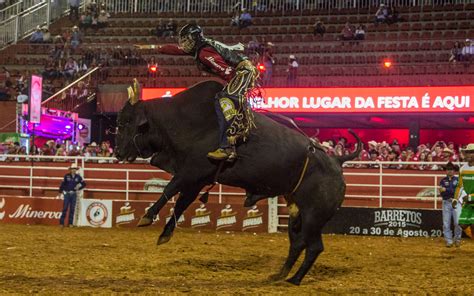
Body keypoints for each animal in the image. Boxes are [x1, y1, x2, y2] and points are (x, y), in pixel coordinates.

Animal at [115, 80, 360, 286]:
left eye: (127, 122)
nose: (117, 152)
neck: (183, 121)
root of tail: (337, 161)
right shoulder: (196, 180)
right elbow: (181, 202)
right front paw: (165, 233)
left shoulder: (191, 172)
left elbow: (170, 190)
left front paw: (147, 216)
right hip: (296, 213)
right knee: (298, 243)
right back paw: (279, 274)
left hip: (313, 216)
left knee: (314, 247)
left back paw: (295, 279)